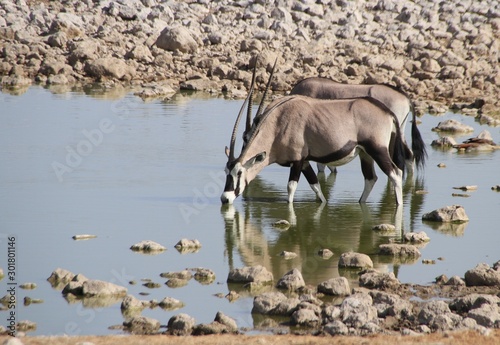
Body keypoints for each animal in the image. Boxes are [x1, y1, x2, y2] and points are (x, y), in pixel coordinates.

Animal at [222, 68, 406, 204]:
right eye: (226, 171)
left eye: (239, 173)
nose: (225, 198)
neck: (278, 123)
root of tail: (387, 112)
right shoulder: (304, 162)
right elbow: (316, 186)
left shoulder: (297, 161)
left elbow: (291, 188)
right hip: (365, 154)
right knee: (370, 178)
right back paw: (361, 203)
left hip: (378, 150)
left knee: (395, 173)